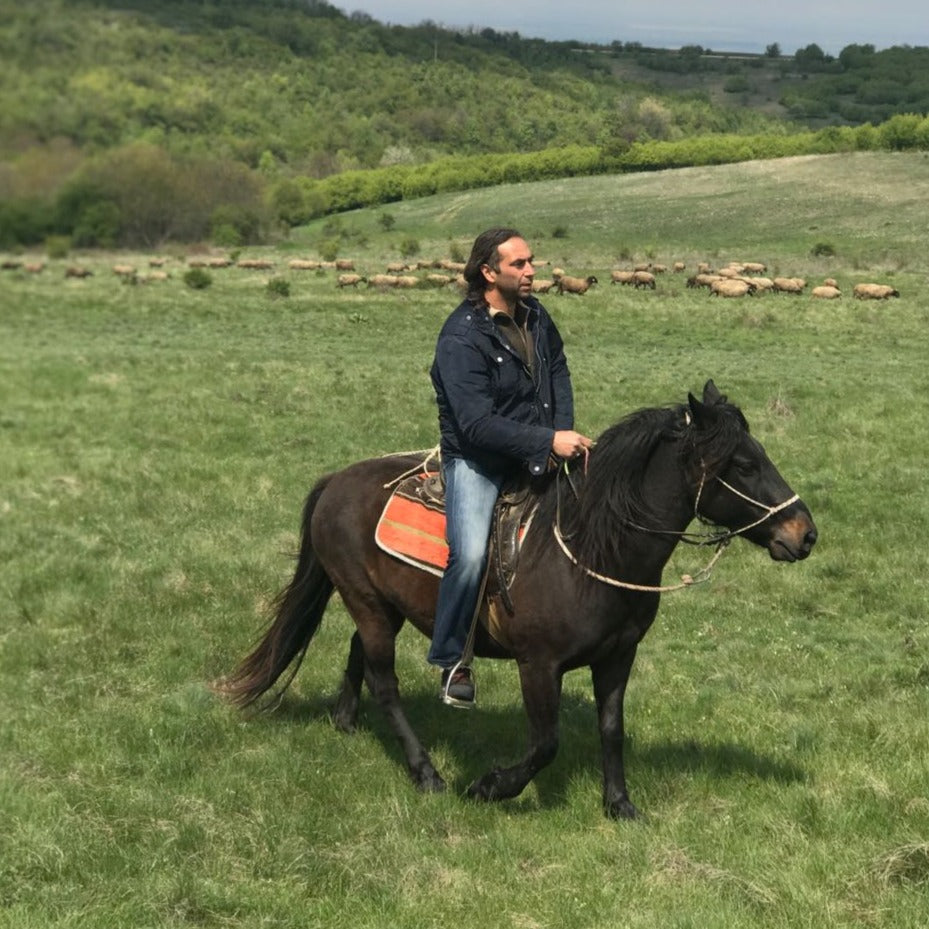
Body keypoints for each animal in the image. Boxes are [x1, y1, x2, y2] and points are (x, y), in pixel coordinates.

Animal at [216, 380, 817, 819]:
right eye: (743, 465)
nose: (804, 534)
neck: (590, 548)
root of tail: (335, 481)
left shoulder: (618, 657)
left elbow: (611, 728)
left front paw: (619, 805)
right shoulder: (538, 663)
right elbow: (545, 743)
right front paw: (489, 786)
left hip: (383, 606)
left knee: (356, 651)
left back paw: (345, 721)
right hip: (366, 601)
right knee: (385, 683)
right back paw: (426, 773)